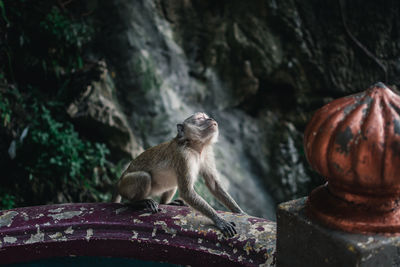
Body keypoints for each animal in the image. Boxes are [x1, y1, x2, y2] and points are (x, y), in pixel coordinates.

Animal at [112, 112, 244, 238]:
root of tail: (119, 181)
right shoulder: (183, 156)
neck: (195, 146)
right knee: (144, 177)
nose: (211, 119)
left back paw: (166, 203)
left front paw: (240, 212)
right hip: (125, 185)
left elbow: (213, 184)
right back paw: (137, 202)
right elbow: (187, 192)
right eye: (200, 118)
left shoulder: (207, 153)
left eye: (206, 117)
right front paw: (219, 221)